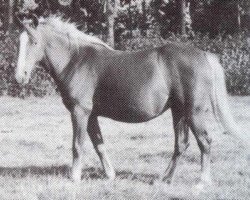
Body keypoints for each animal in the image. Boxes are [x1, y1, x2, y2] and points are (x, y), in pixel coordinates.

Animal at [14, 15, 239, 188]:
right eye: (20, 42)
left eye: (34, 42)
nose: (19, 77)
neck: (76, 60)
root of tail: (204, 55)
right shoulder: (91, 115)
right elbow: (99, 145)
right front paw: (110, 175)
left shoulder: (80, 112)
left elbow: (78, 145)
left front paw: (74, 177)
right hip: (179, 112)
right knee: (181, 145)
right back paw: (164, 179)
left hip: (194, 113)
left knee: (205, 142)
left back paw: (202, 182)